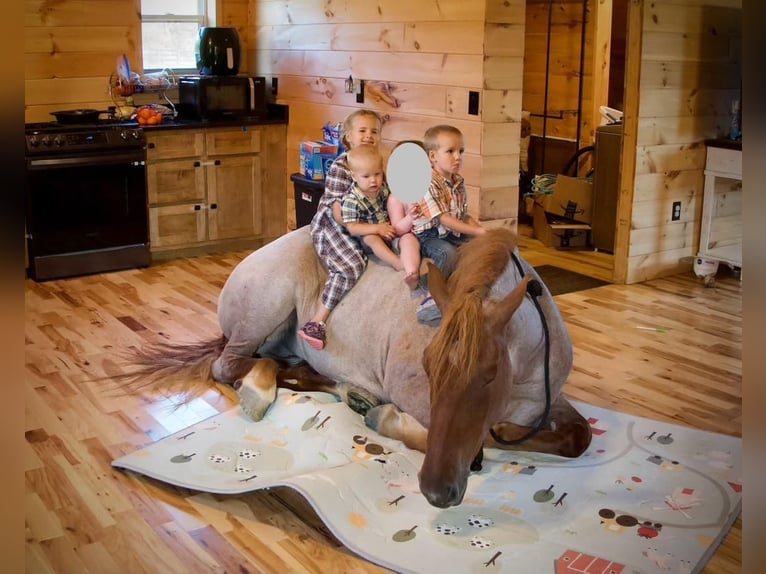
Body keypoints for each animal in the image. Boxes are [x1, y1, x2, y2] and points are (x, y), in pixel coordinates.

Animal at [127, 227, 592, 510]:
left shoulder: (551, 402)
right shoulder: (416, 398)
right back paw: (263, 393)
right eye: (427, 365)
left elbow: (577, 437)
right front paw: (389, 420)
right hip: (262, 315)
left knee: (290, 368)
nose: (436, 490)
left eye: (491, 373)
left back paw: (346, 391)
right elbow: (450, 433)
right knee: (231, 365)